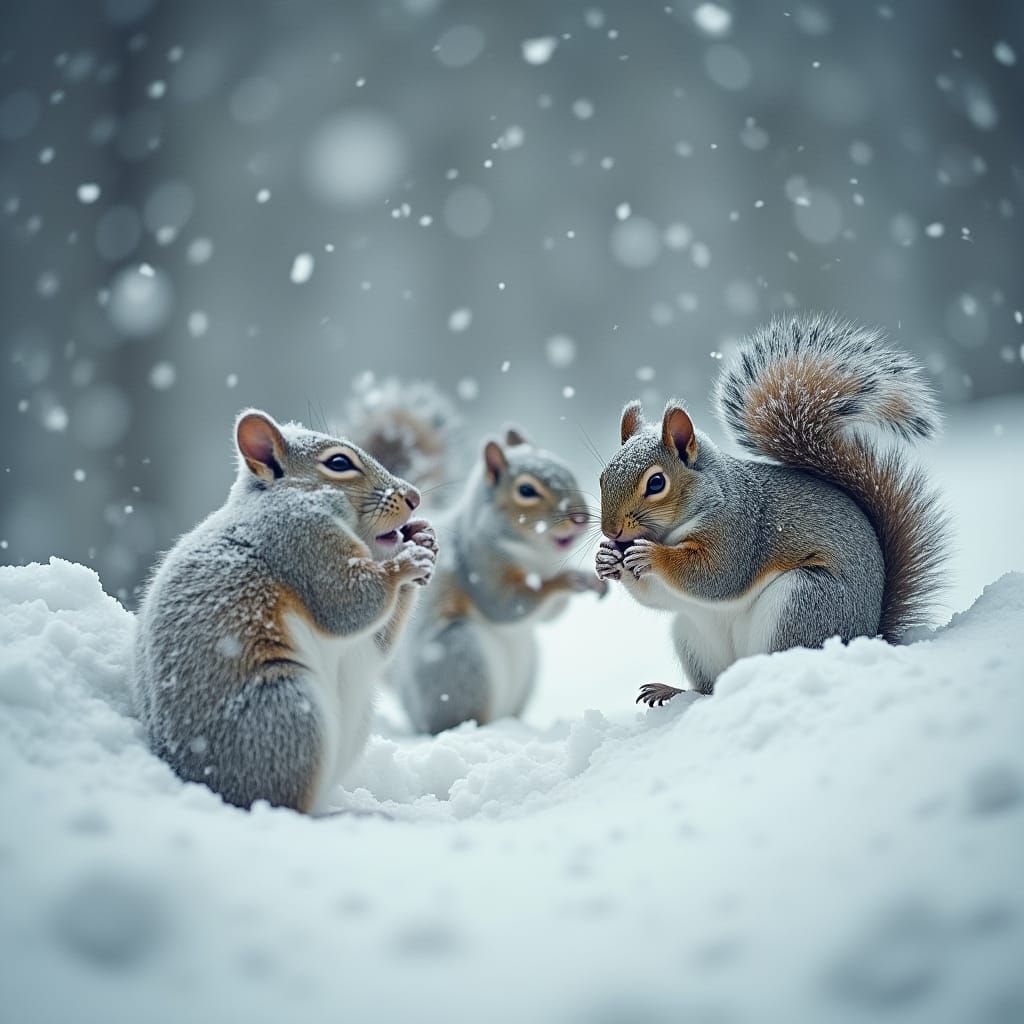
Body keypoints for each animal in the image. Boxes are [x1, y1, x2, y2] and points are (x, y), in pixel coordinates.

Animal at [133, 409, 437, 813]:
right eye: (339, 463)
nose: (414, 497)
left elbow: (378, 639)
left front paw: (424, 538)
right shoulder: (297, 541)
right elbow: (350, 602)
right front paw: (405, 562)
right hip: (285, 712)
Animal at [596, 313, 948, 707]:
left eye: (656, 483)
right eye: (602, 477)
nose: (611, 531)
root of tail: (868, 636)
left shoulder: (738, 531)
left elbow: (715, 576)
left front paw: (652, 556)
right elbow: (658, 596)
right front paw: (606, 560)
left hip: (803, 603)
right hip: (692, 633)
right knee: (709, 685)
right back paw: (675, 691)